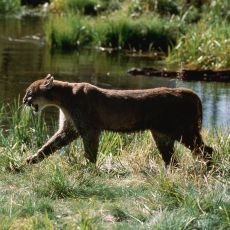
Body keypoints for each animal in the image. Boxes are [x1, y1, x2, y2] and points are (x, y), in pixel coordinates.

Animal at [22, 74, 212, 166]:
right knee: (171, 158)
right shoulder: (69, 129)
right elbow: (48, 147)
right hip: (162, 135)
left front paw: (88, 168)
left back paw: (209, 170)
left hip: (183, 130)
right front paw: (29, 161)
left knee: (207, 150)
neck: (63, 99)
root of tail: (190, 92)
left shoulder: (89, 130)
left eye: (29, 92)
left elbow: (90, 151)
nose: (24, 100)